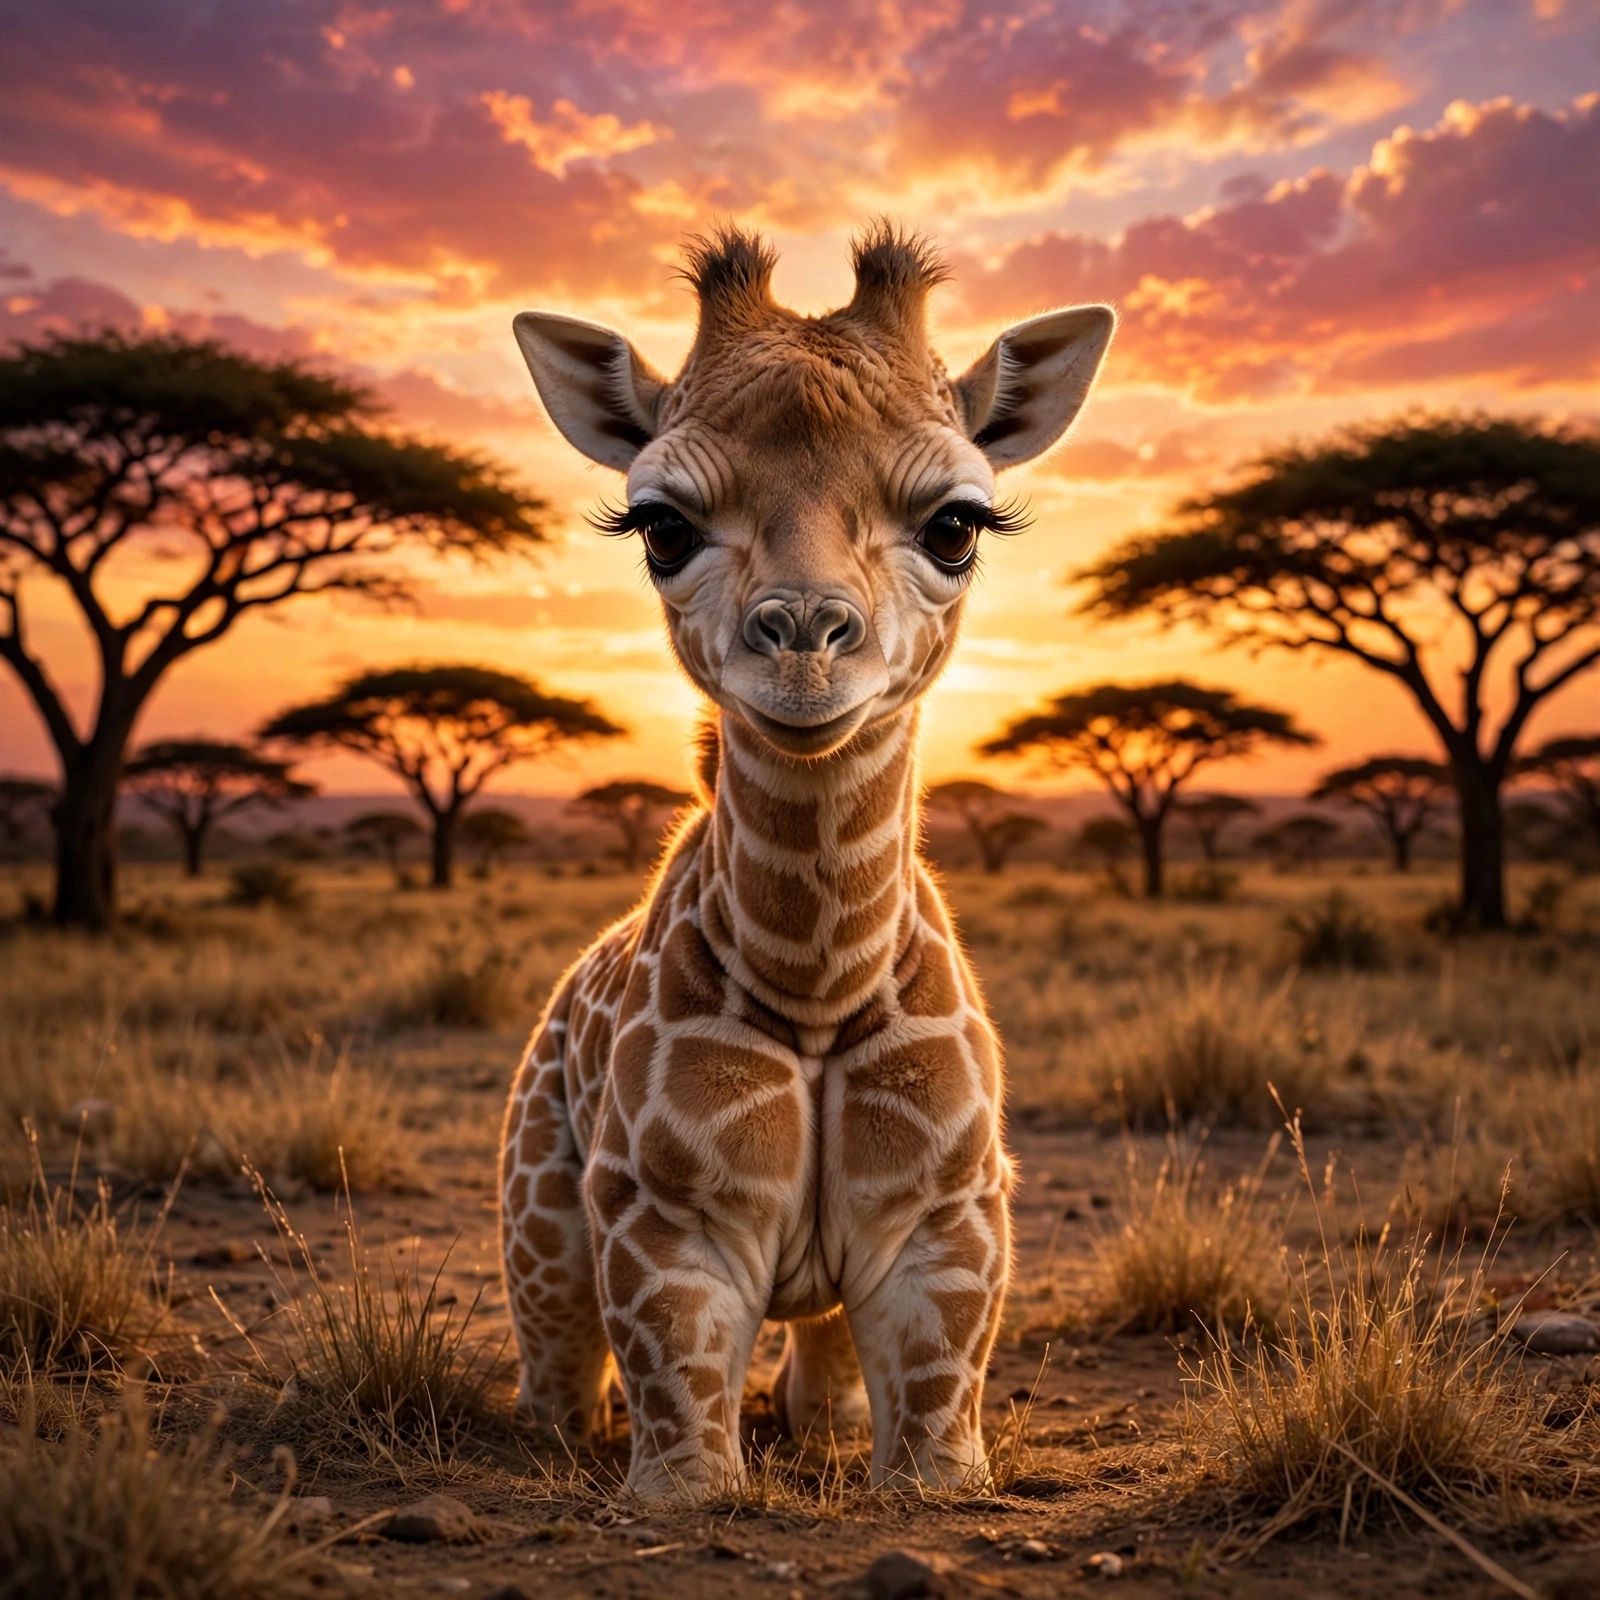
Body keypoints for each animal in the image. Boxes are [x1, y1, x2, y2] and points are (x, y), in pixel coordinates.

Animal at [500, 225, 1113, 1501]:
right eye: (661, 525)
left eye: (956, 523)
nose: (803, 651)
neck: (818, 983)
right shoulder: (662, 1219)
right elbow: (682, 1447)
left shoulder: (948, 1222)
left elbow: (932, 1442)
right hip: (538, 1207)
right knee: (557, 1374)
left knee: (820, 1377)